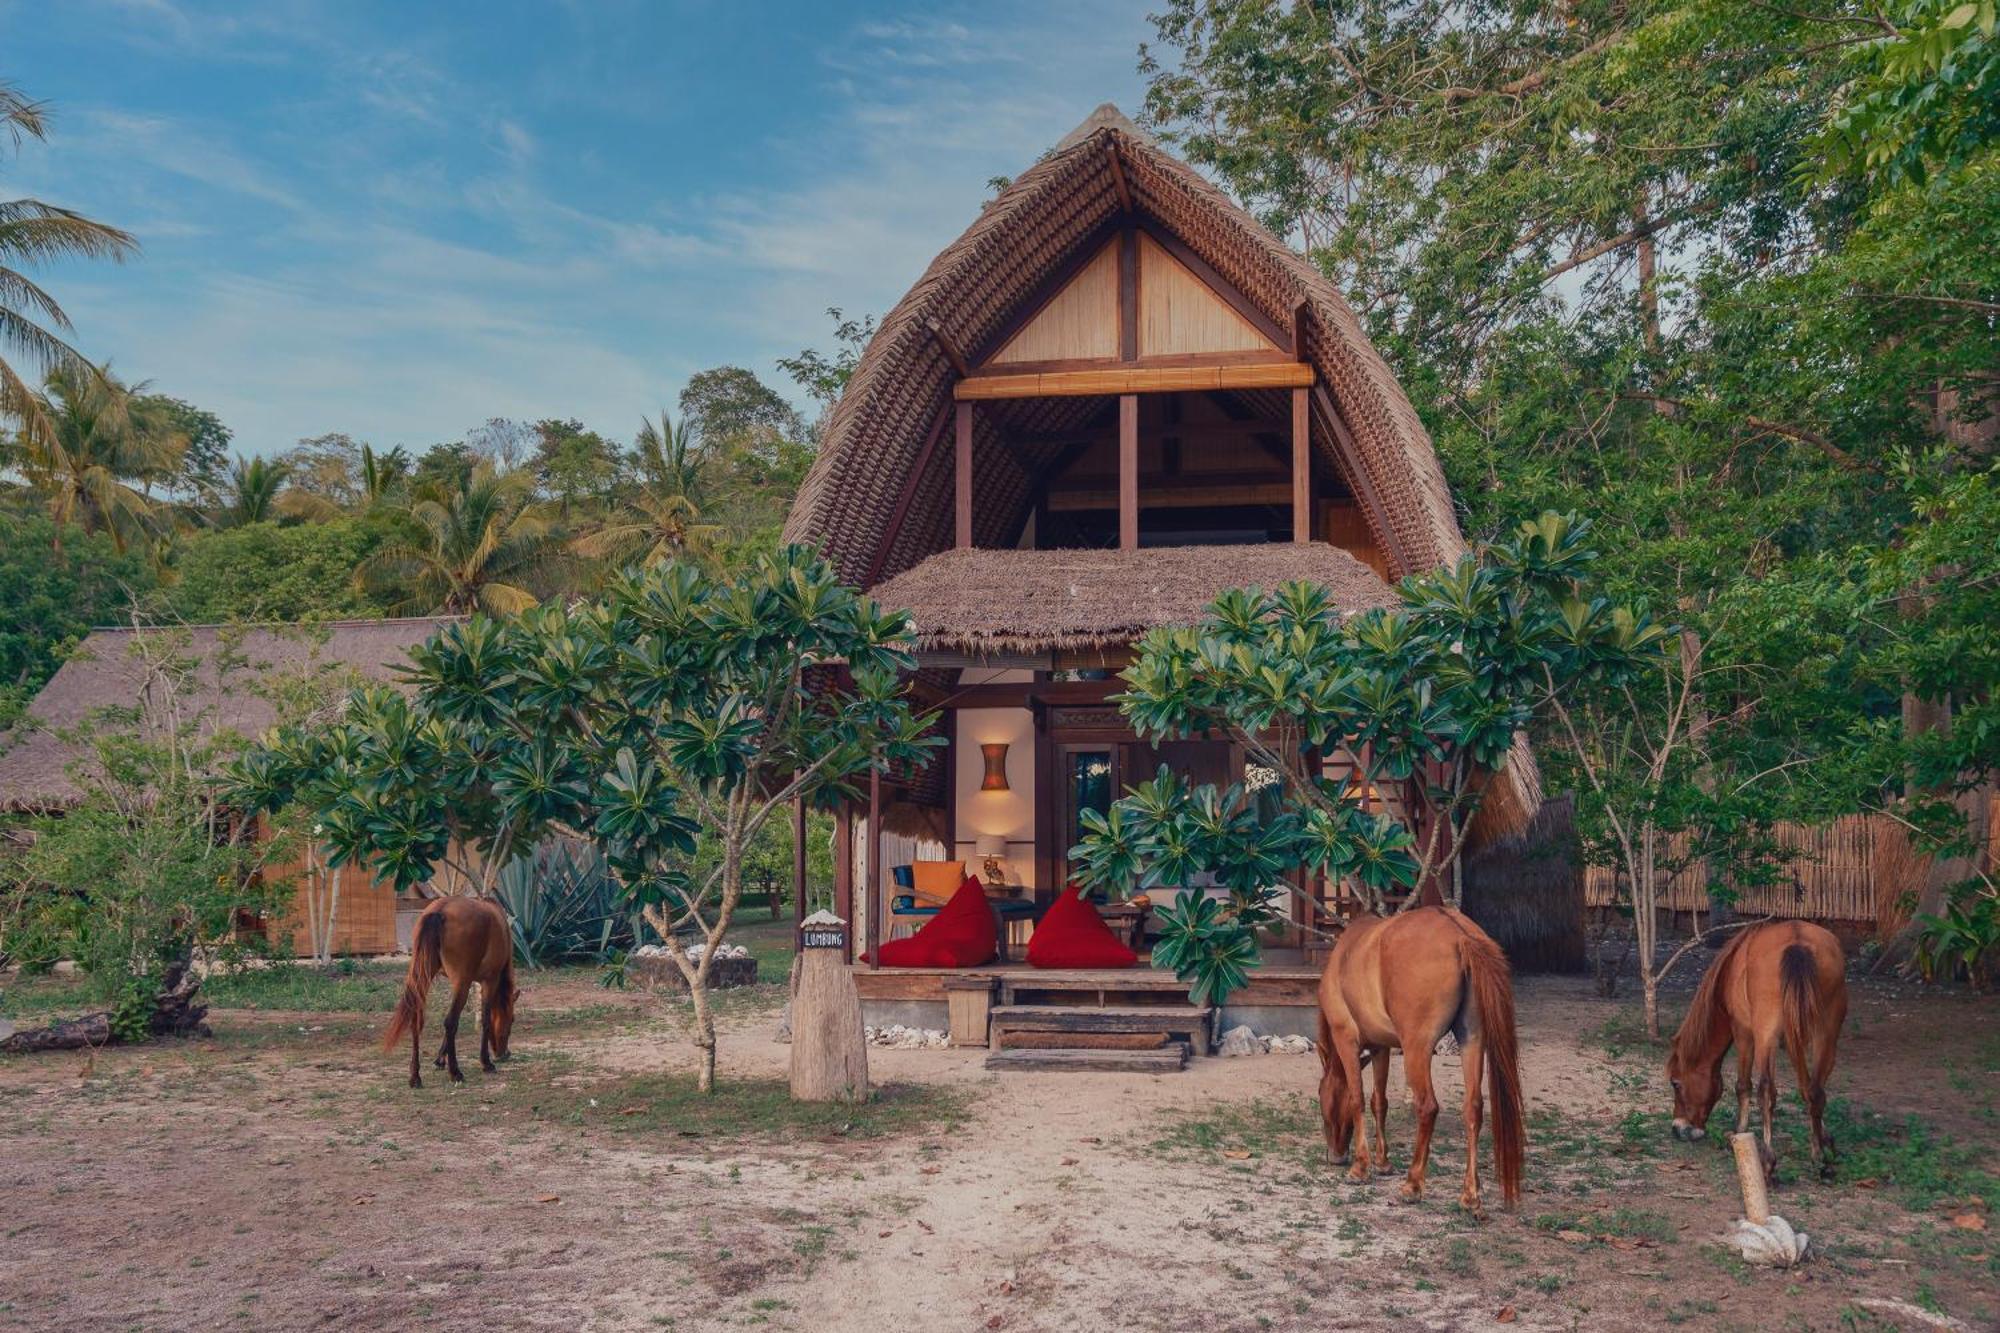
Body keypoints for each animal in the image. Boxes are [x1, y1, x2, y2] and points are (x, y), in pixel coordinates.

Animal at [382, 892, 520, 1088]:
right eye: (512, 1019)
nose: (505, 1054)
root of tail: (440, 911)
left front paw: (440, 1059)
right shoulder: (488, 981)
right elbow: (485, 1020)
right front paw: (485, 1062)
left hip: (423, 977)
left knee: (417, 1020)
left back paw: (415, 1076)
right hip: (461, 982)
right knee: (450, 1022)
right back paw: (455, 1072)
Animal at [1312, 908, 1528, 1208]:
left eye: (1321, 1096)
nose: (1335, 1156)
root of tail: (1460, 934)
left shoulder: (1347, 1041)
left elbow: (1357, 1099)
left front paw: (1361, 1167)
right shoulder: (1381, 1047)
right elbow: (1379, 1101)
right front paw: (1383, 1162)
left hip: (1417, 1049)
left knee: (1427, 1107)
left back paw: (1412, 1185)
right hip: (1472, 1040)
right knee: (1473, 1108)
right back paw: (1470, 1194)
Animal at [1664, 920, 1848, 1176]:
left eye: (1676, 1083)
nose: (1678, 1128)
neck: (1732, 970)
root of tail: (1798, 940)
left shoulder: (1743, 1032)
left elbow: (1743, 1086)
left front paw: (1739, 1133)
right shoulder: (1794, 1039)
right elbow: (1806, 1088)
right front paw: (1823, 1141)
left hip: (1765, 1037)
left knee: (1767, 1092)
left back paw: (1768, 1160)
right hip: (1826, 1034)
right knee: (1816, 1089)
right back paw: (1819, 1158)